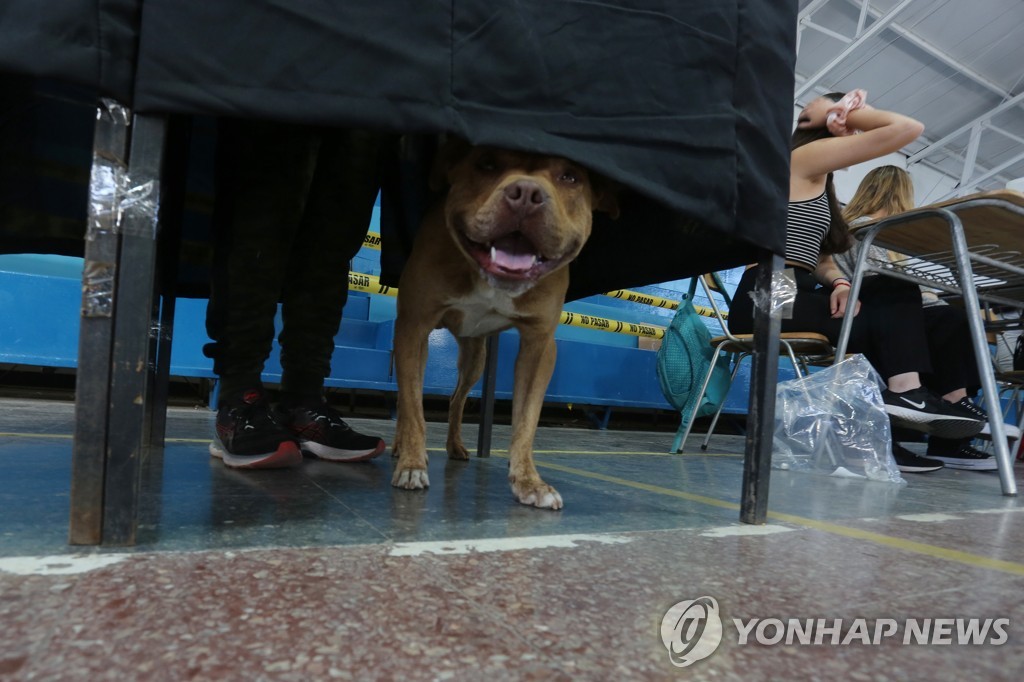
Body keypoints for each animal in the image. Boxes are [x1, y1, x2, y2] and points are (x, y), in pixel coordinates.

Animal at [391, 142, 614, 503]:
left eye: (570, 177)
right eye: (486, 163)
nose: (526, 194)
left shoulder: (540, 346)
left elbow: (526, 420)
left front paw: (529, 481)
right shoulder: (413, 327)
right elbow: (413, 409)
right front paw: (412, 463)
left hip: (475, 359)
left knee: (455, 401)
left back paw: (455, 446)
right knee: (406, 399)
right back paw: (402, 446)